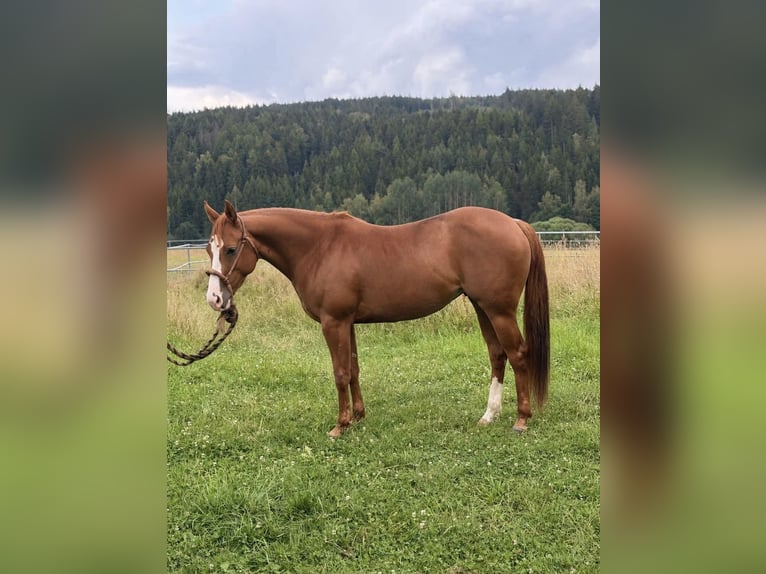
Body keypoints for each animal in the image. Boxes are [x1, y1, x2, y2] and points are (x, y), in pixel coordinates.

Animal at [203, 200, 549, 438]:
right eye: (209, 250)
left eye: (231, 249)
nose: (215, 299)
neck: (319, 247)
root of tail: (513, 223)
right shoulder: (347, 323)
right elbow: (354, 369)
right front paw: (358, 416)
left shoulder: (334, 322)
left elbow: (340, 372)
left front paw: (340, 425)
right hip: (482, 307)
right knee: (497, 355)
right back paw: (489, 415)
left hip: (499, 310)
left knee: (518, 355)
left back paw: (521, 419)